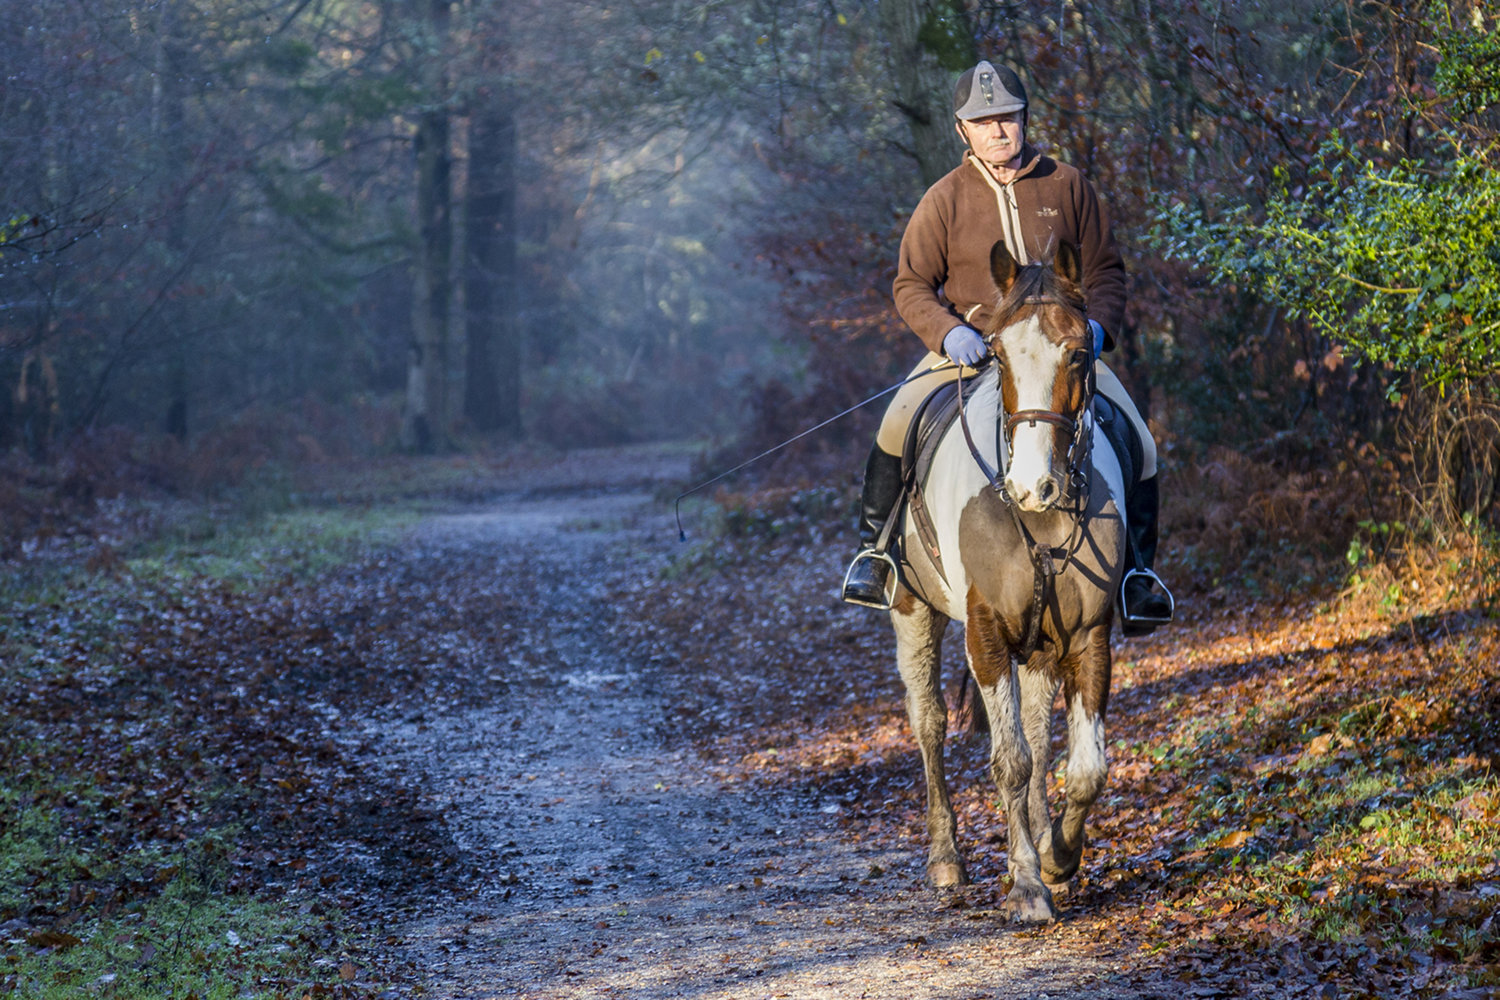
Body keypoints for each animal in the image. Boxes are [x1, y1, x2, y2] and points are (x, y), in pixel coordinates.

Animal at [888, 239, 1128, 923]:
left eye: (1078, 352)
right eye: (995, 352)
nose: (1032, 486)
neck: (1040, 520)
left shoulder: (1088, 636)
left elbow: (1083, 768)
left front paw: (1058, 860)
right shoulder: (988, 634)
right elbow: (1011, 762)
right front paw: (1025, 886)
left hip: (1043, 646)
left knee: (1043, 738)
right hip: (912, 611)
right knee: (929, 722)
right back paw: (947, 859)